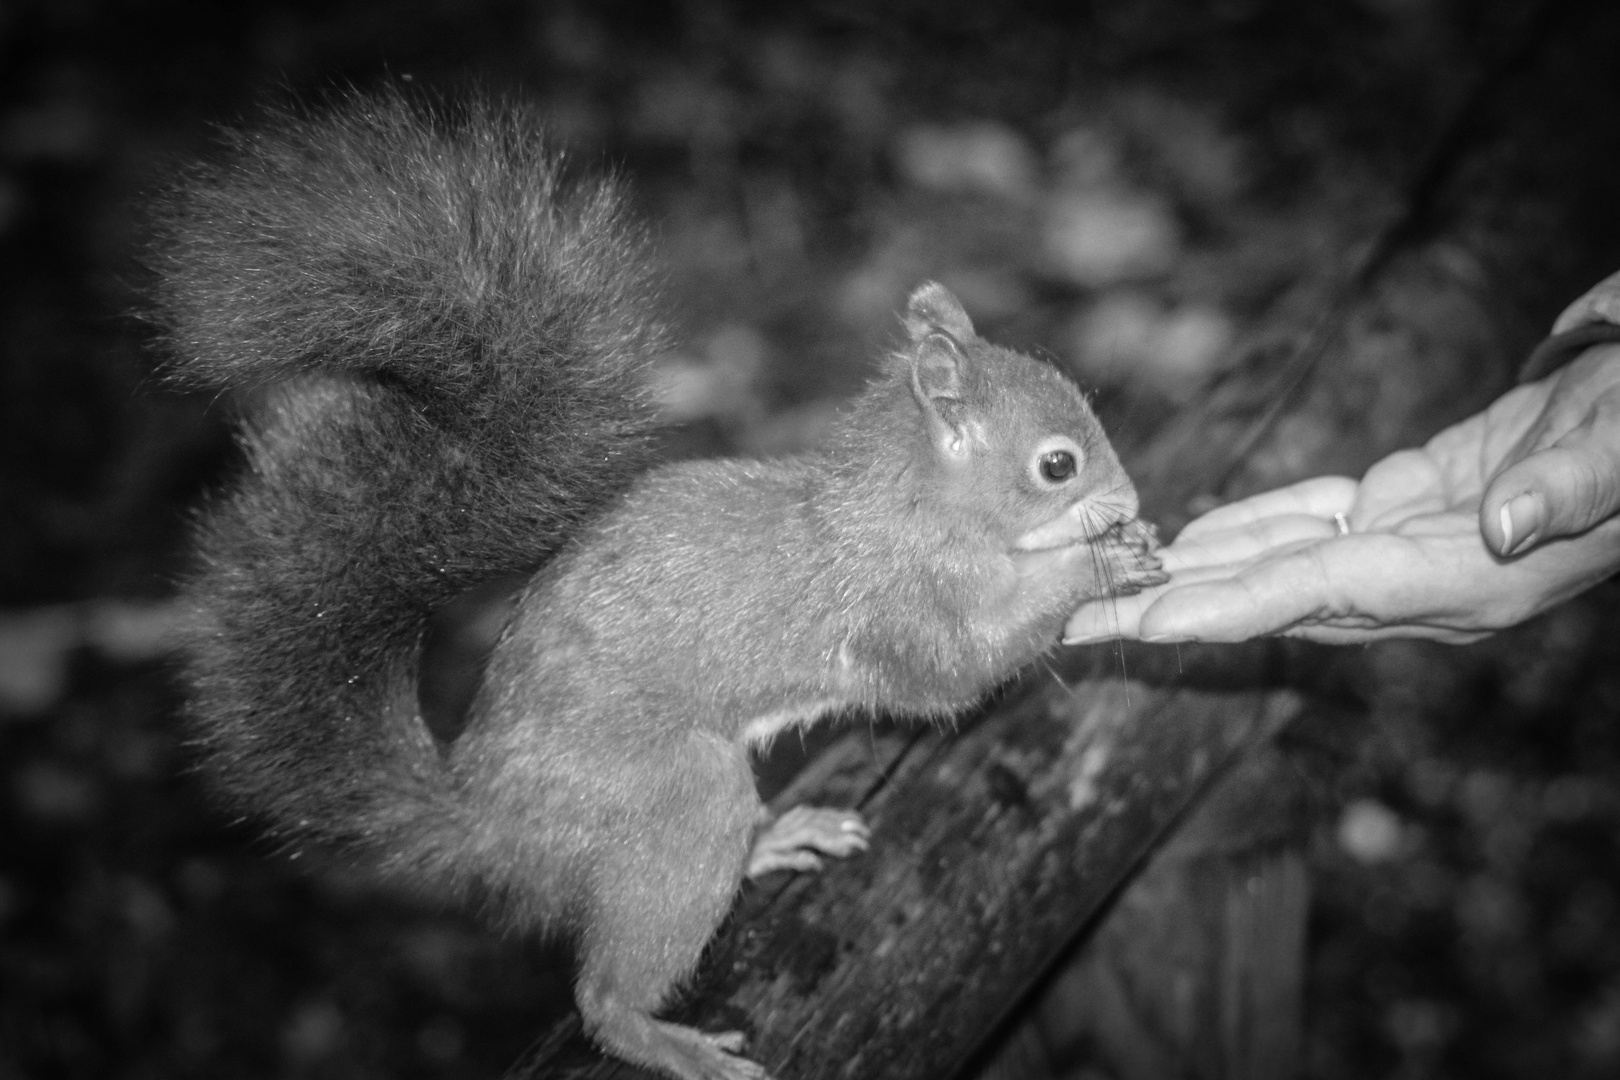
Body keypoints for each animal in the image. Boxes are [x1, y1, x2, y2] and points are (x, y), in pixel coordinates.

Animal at [152, 86, 1166, 1080]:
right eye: (1058, 465)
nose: (1129, 498)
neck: (904, 506)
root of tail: (485, 818)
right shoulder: (888, 606)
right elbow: (953, 673)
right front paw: (1098, 561)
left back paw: (777, 839)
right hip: (675, 797)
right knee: (604, 996)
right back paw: (666, 1039)